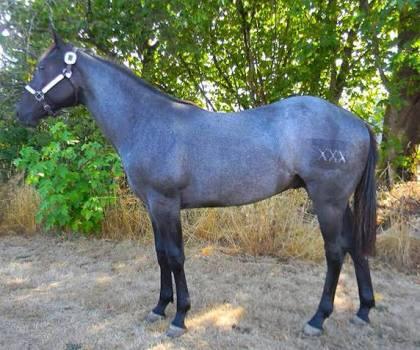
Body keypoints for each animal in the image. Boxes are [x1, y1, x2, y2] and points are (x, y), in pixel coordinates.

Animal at [16, 34, 378, 338]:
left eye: (42, 68)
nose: (20, 112)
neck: (146, 122)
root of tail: (357, 121)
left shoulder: (166, 204)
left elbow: (176, 256)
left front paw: (179, 317)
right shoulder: (152, 206)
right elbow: (161, 254)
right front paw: (159, 307)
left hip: (327, 201)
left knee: (335, 253)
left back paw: (318, 319)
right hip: (341, 202)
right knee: (354, 247)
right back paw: (363, 310)